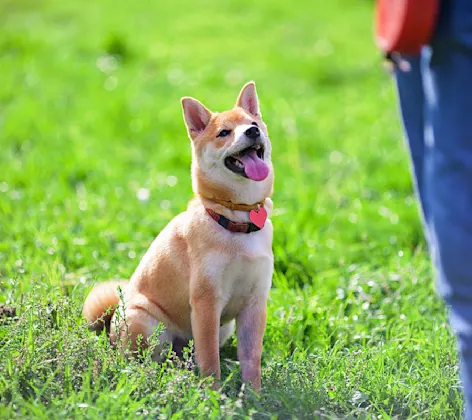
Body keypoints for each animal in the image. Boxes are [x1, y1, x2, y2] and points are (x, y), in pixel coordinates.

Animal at [83, 81, 274, 390]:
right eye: (224, 133)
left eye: (254, 124)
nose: (252, 132)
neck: (235, 219)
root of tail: (111, 328)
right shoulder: (206, 302)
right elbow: (210, 362)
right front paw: (213, 395)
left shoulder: (254, 304)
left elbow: (251, 360)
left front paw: (254, 395)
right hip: (146, 323)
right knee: (143, 362)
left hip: (222, 329)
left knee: (185, 357)